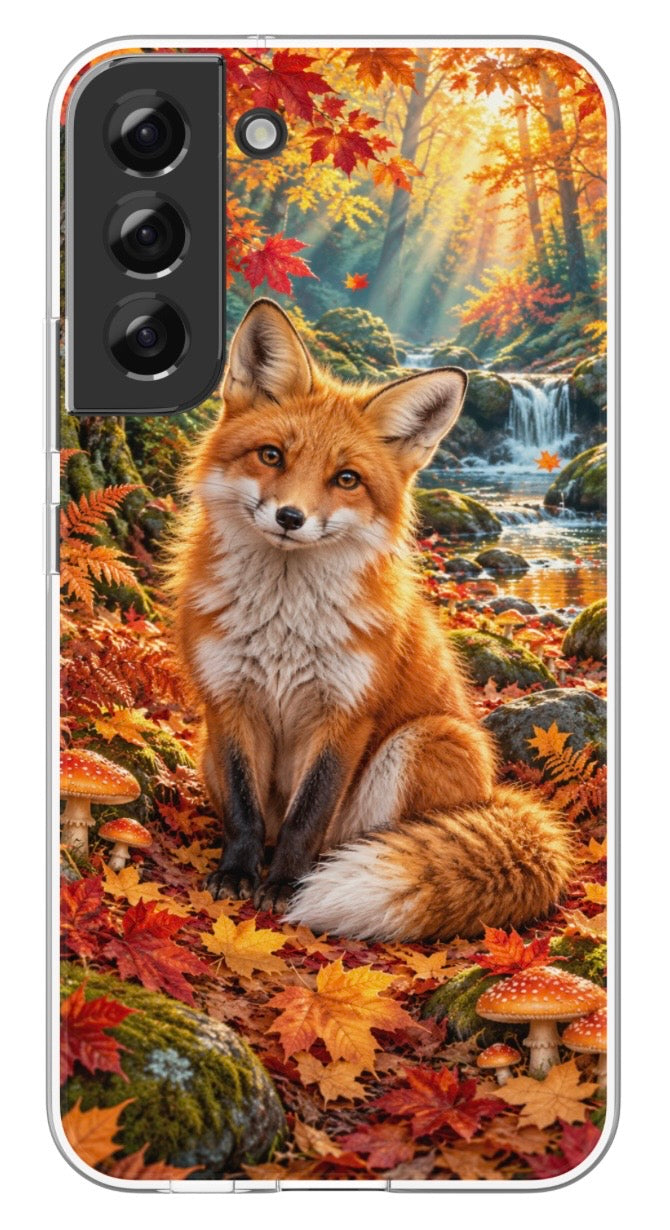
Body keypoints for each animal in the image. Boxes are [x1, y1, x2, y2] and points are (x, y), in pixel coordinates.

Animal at [171, 298, 573, 941]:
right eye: (272, 455)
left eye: (347, 479)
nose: (290, 517)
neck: (284, 623)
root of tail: (495, 794)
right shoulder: (227, 700)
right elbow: (242, 808)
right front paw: (237, 873)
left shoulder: (347, 713)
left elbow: (309, 814)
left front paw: (286, 885)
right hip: (209, 748)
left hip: (427, 740)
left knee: (369, 841)